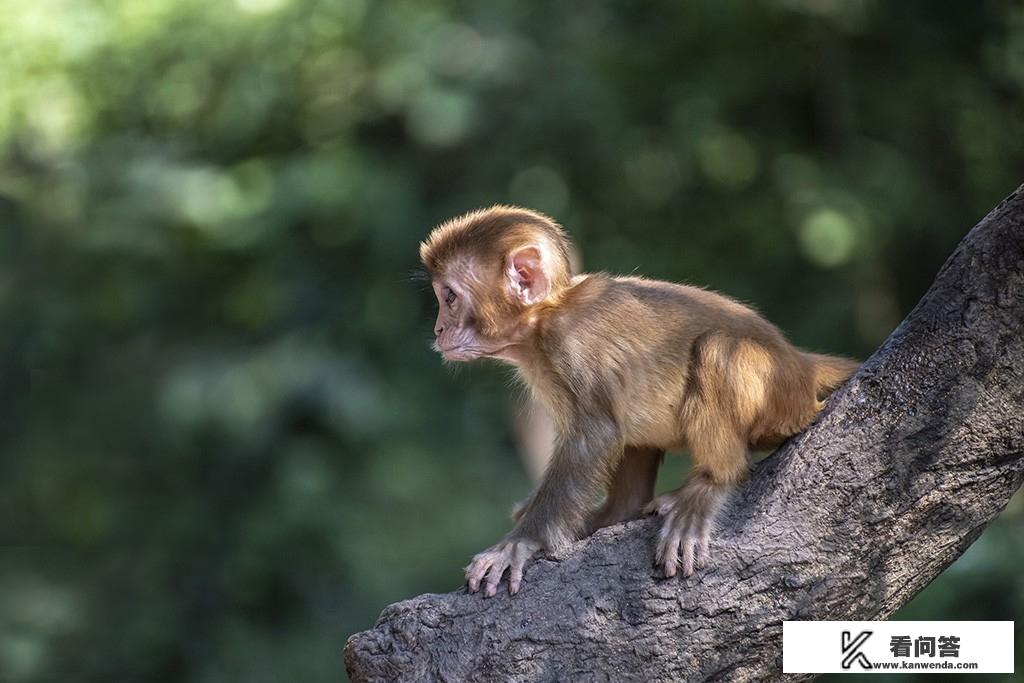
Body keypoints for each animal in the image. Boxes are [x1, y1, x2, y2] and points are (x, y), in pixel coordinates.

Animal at [417, 205, 856, 593]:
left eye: (449, 297)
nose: (438, 329)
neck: (543, 322)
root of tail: (799, 363)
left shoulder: (573, 345)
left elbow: (595, 434)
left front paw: (521, 543)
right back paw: (618, 511)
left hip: (780, 396)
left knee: (716, 350)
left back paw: (713, 481)